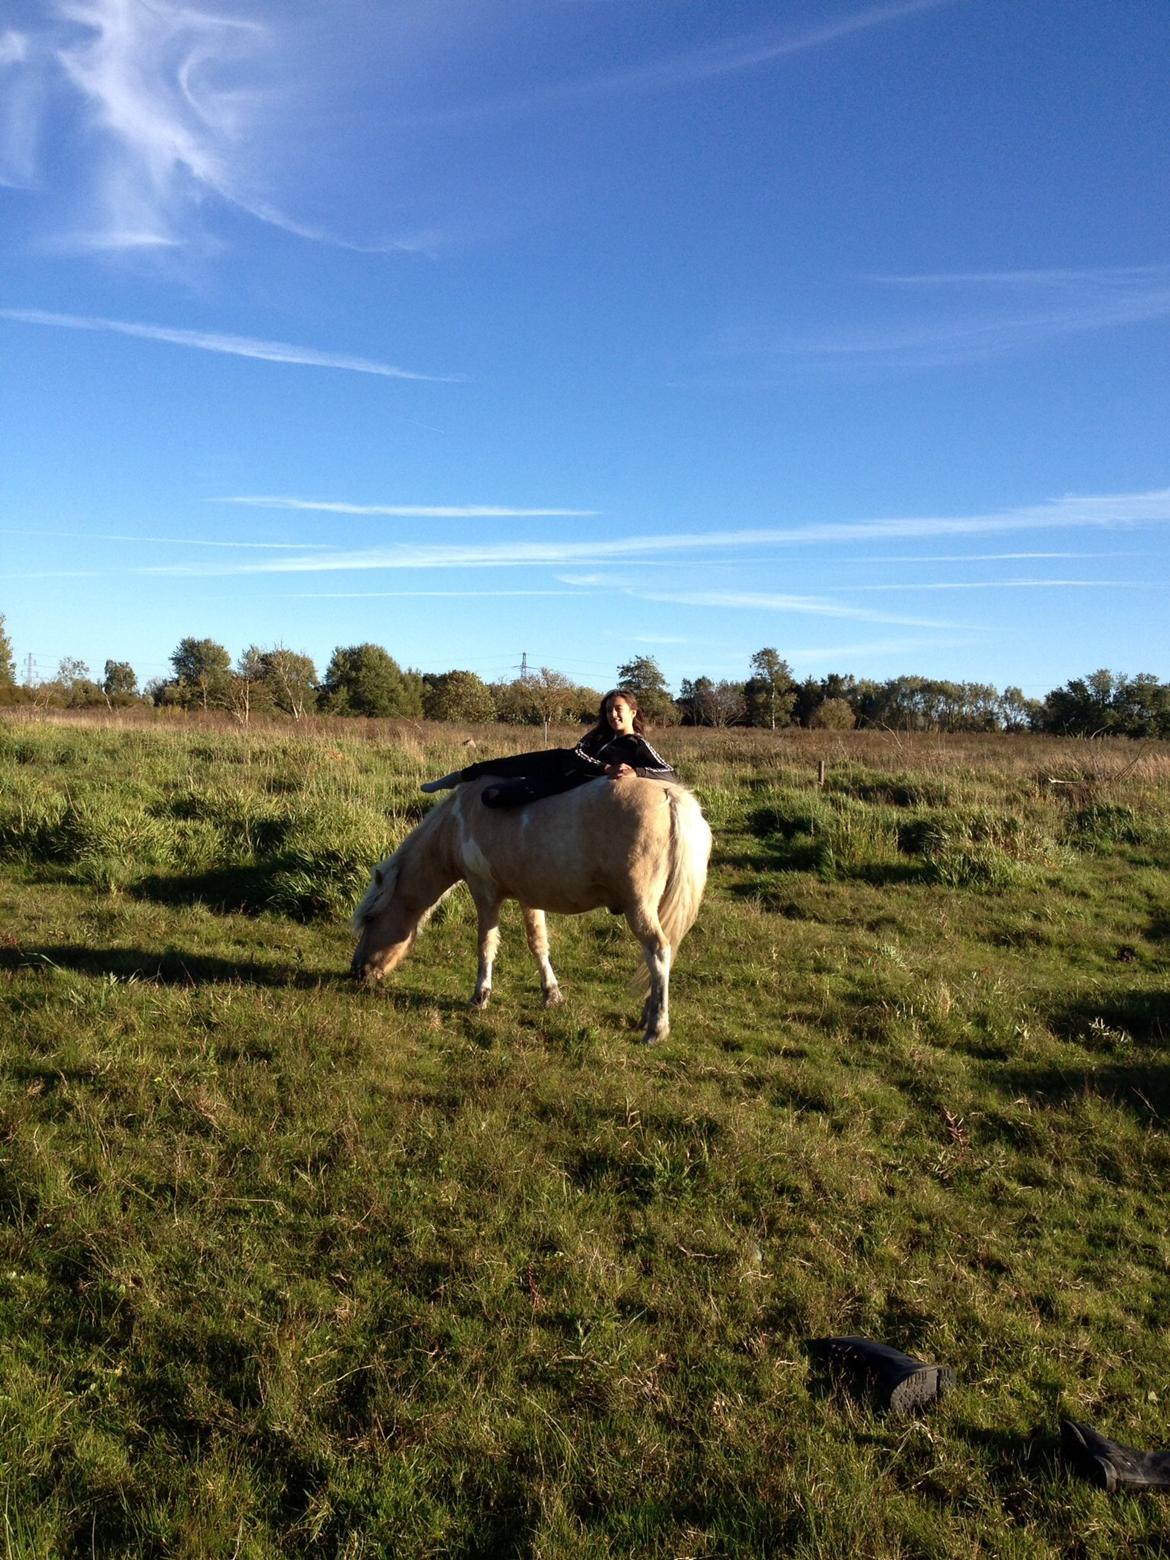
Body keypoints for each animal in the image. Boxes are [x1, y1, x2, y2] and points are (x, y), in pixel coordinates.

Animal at [352, 773, 711, 1042]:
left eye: (370, 919)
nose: (357, 973)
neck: (459, 819)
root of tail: (669, 795)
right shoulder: (529, 898)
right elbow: (538, 944)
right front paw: (551, 994)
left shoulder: (484, 891)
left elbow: (486, 944)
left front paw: (480, 997)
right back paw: (646, 1016)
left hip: (640, 908)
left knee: (658, 951)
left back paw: (656, 1029)